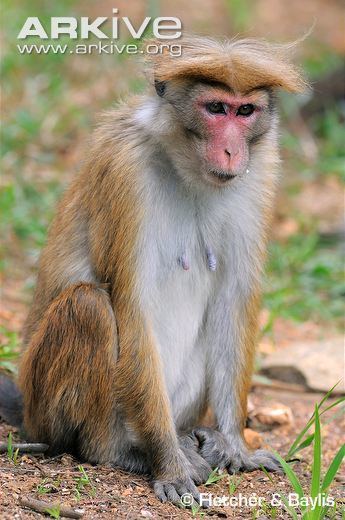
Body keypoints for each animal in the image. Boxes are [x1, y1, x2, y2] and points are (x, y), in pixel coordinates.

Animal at [0, 35, 306, 504]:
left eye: (245, 112)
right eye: (216, 108)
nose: (232, 150)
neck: (184, 164)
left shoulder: (259, 171)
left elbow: (232, 299)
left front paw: (236, 445)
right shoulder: (126, 172)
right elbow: (132, 306)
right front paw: (168, 464)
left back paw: (192, 438)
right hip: (44, 405)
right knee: (89, 306)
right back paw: (119, 449)